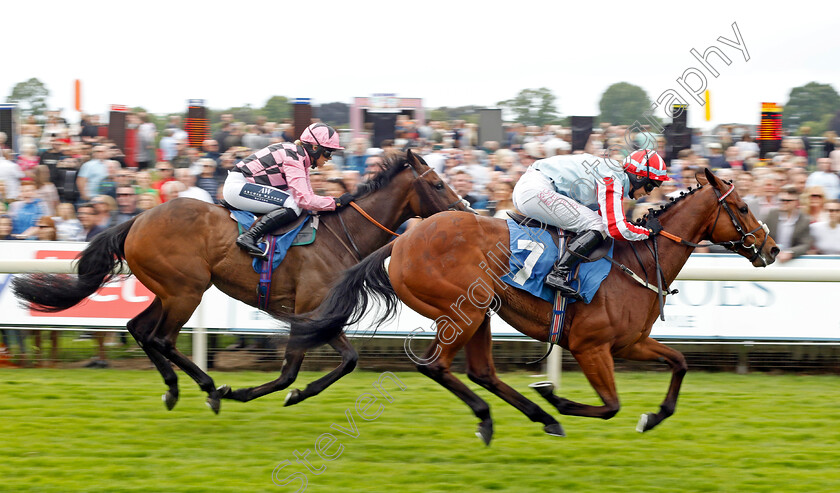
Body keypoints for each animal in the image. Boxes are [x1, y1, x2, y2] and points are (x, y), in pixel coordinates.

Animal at [11, 149, 466, 412]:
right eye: (437, 183)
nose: (466, 211)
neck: (343, 234)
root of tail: (137, 219)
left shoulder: (320, 314)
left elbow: (348, 360)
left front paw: (293, 394)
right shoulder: (309, 311)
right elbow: (290, 372)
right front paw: (246, 393)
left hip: (170, 289)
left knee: (138, 328)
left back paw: (173, 389)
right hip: (187, 290)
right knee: (160, 338)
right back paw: (211, 389)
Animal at [288, 168, 780, 442]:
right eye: (742, 206)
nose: (772, 249)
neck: (636, 261)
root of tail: (402, 239)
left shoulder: (630, 343)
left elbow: (679, 362)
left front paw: (652, 418)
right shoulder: (591, 347)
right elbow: (610, 404)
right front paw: (556, 396)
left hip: (479, 313)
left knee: (480, 371)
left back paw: (531, 418)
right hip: (462, 311)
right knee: (437, 366)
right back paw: (509, 416)